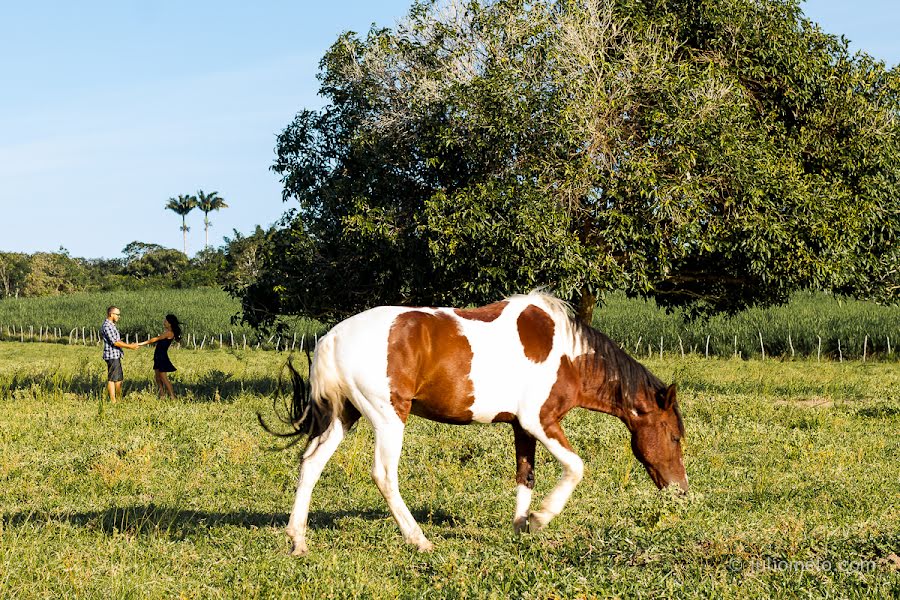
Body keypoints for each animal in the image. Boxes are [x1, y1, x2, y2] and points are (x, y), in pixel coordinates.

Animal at [264, 290, 684, 552]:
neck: (566, 353)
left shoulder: (521, 428)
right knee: (384, 476)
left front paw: (521, 527)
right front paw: (540, 519)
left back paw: (298, 541)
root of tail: (330, 339)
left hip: (341, 417)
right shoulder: (540, 420)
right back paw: (418, 539)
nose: (680, 490)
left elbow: (525, 476)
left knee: (311, 465)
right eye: (675, 436)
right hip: (388, 418)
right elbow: (576, 467)